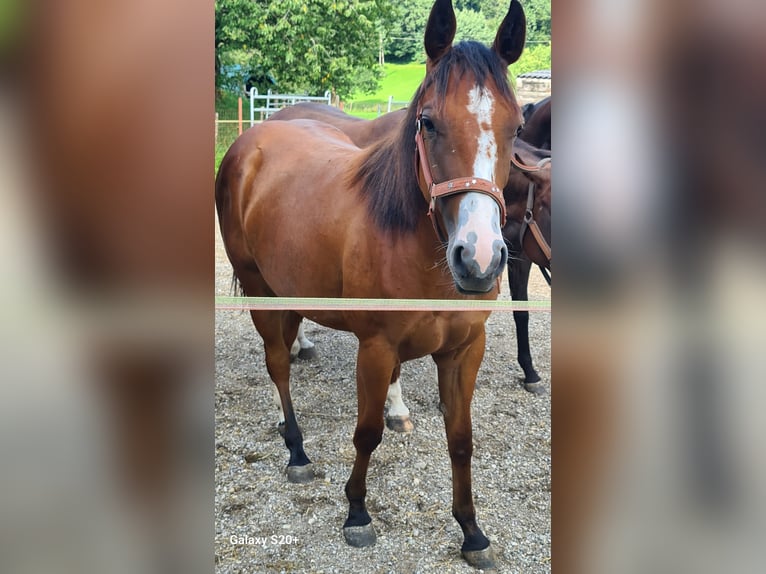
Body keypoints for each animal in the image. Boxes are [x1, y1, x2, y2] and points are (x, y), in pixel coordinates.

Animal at [215, 0, 527, 568]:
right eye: (428, 121)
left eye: (516, 126)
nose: (479, 258)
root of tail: (252, 138)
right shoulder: (377, 348)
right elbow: (366, 434)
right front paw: (357, 513)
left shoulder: (464, 351)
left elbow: (461, 439)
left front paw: (472, 531)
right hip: (259, 287)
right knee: (277, 363)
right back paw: (295, 448)